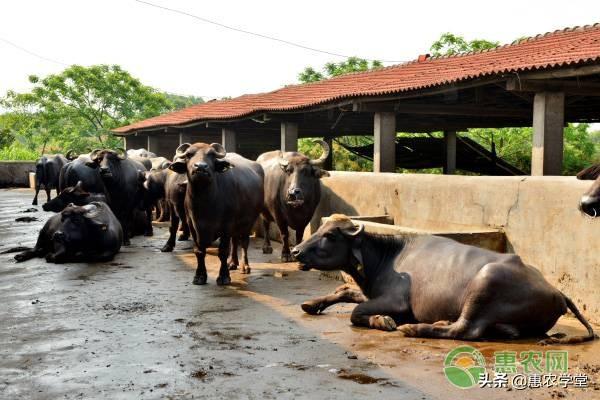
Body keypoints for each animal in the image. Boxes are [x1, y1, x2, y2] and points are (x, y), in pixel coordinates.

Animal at [169, 143, 262, 284]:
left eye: (212, 155)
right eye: (189, 155)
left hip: (249, 221)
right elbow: (199, 251)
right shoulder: (192, 225)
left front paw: (224, 277)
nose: (200, 167)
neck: (205, 203)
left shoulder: (227, 225)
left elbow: (223, 251)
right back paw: (232, 263)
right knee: (235, 241)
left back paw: (245, 266)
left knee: (244, 243)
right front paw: (199, 276)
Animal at [292, 216, 596, 344]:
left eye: (330, 235)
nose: (296, 251)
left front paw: (384, 321)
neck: (385, 258)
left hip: (486, 281)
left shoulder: (397, 302)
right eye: (319, 229)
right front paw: (311, 303)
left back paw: (415, 328)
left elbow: (357, 312)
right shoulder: (368, 291)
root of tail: (557, 292)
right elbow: (344, 289)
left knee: (465, 330)